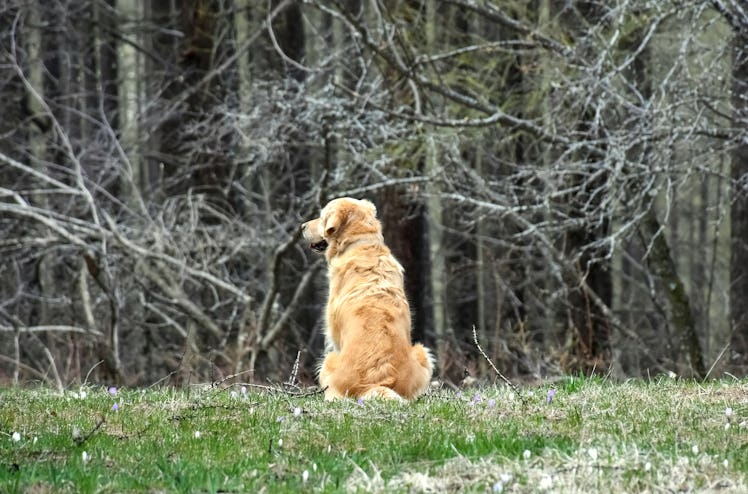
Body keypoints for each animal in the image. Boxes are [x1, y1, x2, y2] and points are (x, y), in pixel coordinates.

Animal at [302, 197, 436, 402]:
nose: (302, 226)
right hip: (423, 353)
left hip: (329, 360)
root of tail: (376, 383)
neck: (360, 242)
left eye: (322, 216)